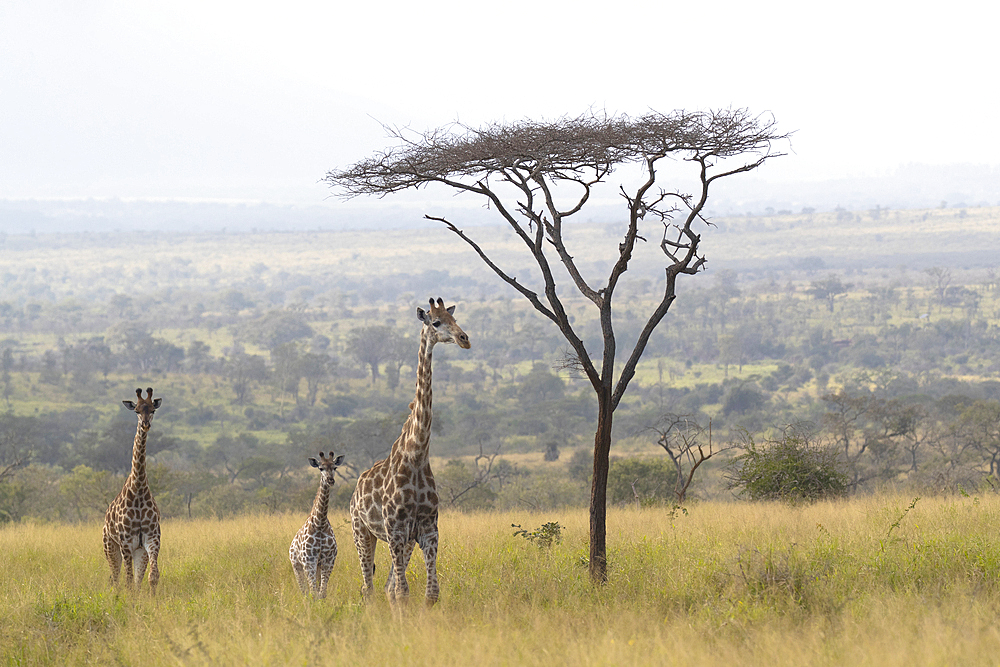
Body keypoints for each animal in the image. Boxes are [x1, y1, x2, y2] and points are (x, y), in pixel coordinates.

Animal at [103, 386, 162, 596]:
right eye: (136, 410)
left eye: (152, 410)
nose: (145, 425)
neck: (138, 490)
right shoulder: (126, 543)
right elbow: (127, 581)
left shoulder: (152, 539)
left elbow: (152, 577)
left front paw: (153, 601)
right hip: (110, 547)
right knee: (116, 579)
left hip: (139, 551)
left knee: (135, 581)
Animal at [292, 452, 346, 596]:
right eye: (321, 468)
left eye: (335, 467)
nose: (331, 480)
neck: (320, 523)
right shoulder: (309, 560)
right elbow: (314, 592)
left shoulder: (328, 559)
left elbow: (322, 592)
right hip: (297, 566)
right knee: (304, 591)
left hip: (317, 566)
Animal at [352, 298, 472, 604]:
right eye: (436, 322)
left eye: (454, 319)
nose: (464, 339)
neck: (416, 455)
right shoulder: (395, 530)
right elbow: (402, 592)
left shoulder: (428, 530)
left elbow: (429, 593)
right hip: (362, 532)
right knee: (369, 587)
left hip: (403, 542)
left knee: (386, 587)